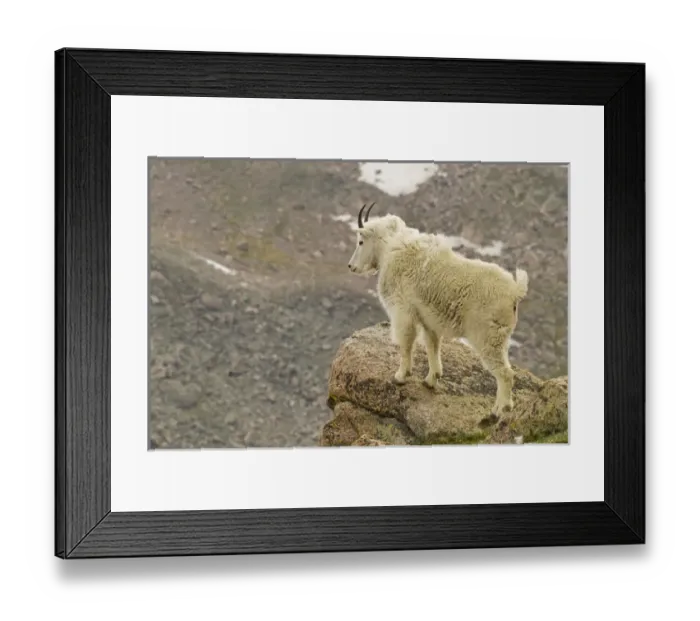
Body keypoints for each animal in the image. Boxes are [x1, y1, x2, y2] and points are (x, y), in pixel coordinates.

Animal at [347, 203, 529, 416]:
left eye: (360, 241)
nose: (351, 266)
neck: (390, 247)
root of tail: (515, 292)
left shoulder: (403, 311)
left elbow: (406, 343)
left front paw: (400, 376)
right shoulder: (428, 320)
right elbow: (432, 345)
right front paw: (431, 379)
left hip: (488, 337)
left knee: (506, 373)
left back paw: (498, 410)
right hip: (500, 338)